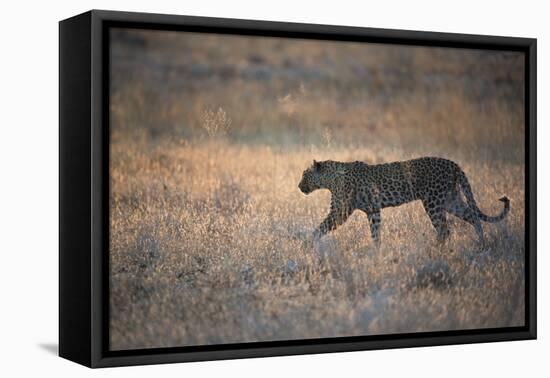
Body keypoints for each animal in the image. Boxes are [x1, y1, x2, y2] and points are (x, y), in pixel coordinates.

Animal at [300, 157, 512, 248]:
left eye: (304, 175)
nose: (299, 186)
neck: (330, 178)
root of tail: (453, 164)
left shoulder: (340, 211)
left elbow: (321, 227)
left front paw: (308, 243)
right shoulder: (373, 211)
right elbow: (375, 233)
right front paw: (376, 252)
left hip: (433, 201)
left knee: (444, 229)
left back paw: (434, 250)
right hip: (451, 199)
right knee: (473, 217)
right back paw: (481, 244)